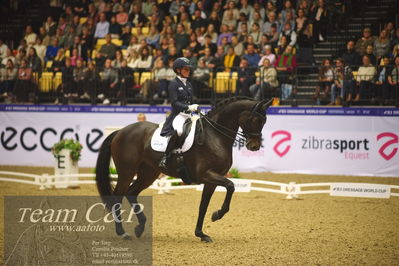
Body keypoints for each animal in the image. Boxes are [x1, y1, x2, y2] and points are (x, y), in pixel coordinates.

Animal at [95, 96, 274, 242]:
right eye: (256, 120)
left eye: (264, 121)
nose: (254, 146)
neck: (215, 136)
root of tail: (121, 131)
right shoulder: (207, 174)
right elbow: (231, 186)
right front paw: (217, 215)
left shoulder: (212, 180)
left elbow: (203, 205)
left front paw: (201, 234)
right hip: (127, 172)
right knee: (117, 198)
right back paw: (123, 233)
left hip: (148, 173)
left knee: (131, 193)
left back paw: (140, 228)